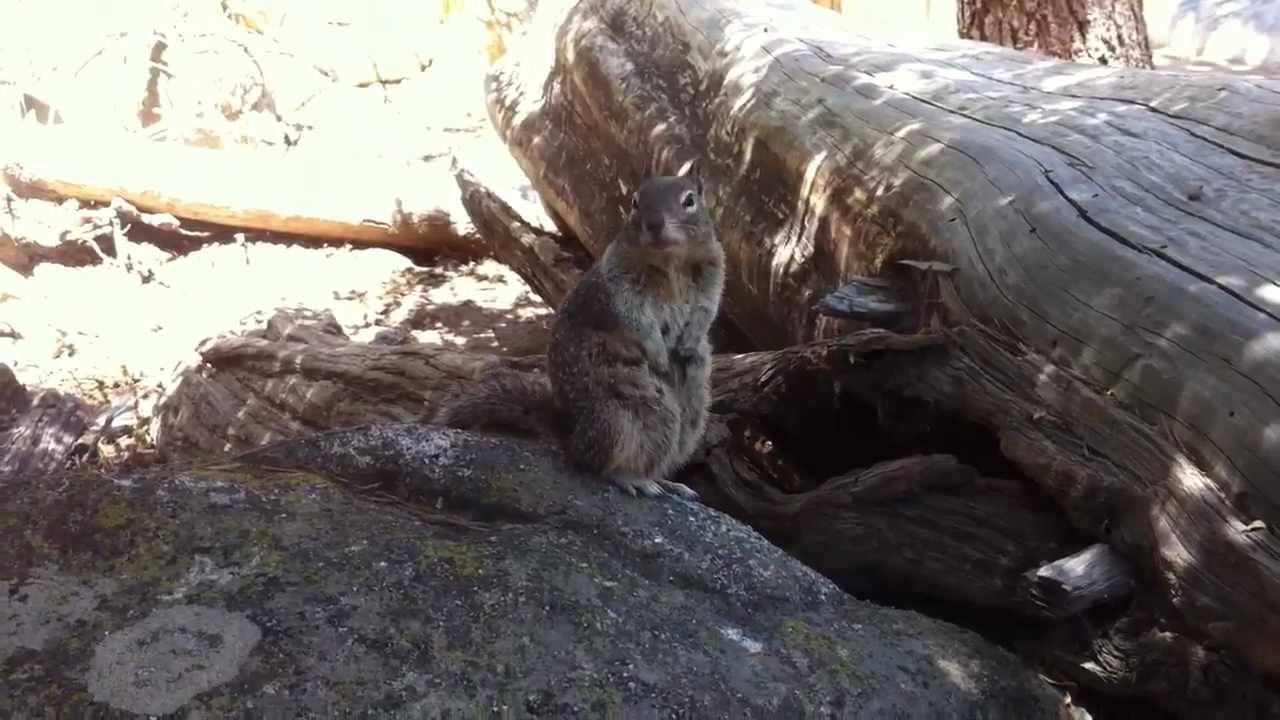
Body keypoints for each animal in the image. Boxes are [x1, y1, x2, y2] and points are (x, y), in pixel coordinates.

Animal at [431, 161, 725, 500]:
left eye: (689, 200)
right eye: (635, 201)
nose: (654, 223)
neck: (669, 260)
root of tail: (571, 435)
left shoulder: (713, 273)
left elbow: (706, 310)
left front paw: (690, 341)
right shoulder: (619, 285)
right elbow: (636, 318)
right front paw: (659, 355)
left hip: (692, 419)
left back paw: (668, 483)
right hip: (623, 415)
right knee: (599, 464)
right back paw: (631, 479)